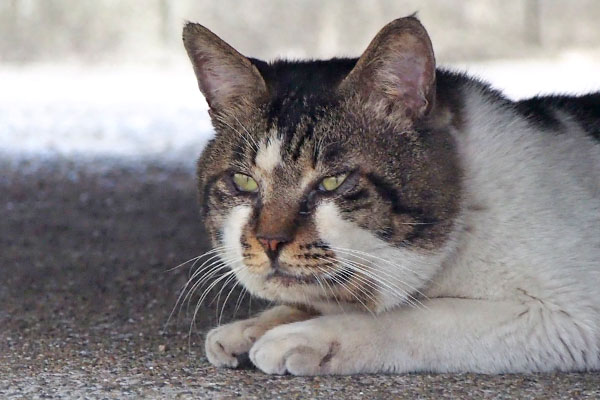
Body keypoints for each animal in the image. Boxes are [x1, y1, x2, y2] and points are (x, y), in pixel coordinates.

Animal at [182, 14, 600, 372]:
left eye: (333, 182)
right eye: (244, 182)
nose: (269, 240)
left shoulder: (570, 315)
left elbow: (421, 315)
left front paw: (302, 337)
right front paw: (253, 327)